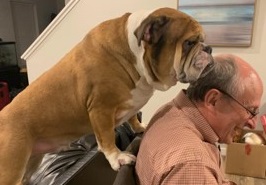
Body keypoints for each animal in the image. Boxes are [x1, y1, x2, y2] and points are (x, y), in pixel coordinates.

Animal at [0, 7, 213, 185]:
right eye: (189, 43)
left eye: (202, 40)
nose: (209, 48)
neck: (134, 55)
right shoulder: (100, 108)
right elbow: (106, 137)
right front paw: (117, 157)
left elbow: (132, 117)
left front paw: (139, 127)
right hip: (11, 169)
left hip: (31, 162)